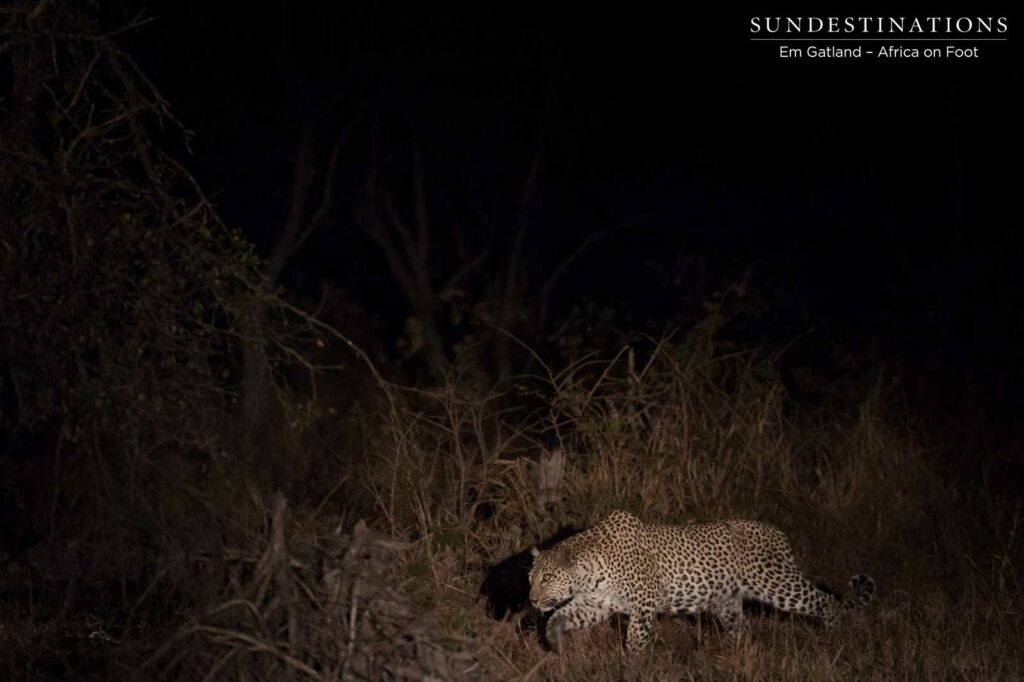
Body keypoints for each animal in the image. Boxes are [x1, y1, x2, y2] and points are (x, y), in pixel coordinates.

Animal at [528, 510, 875, 654]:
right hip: (727, 604)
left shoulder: (643, 606)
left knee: (825, 602)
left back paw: (832, 638)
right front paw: (554, 643)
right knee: (744, 628)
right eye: (530, 578)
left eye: (547, 577)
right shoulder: (595, 605)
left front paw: (630, 666)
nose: (531, 599)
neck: (589, 573)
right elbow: (560, 616)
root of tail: (779, 535)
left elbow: (636, 641)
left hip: (778, 584)